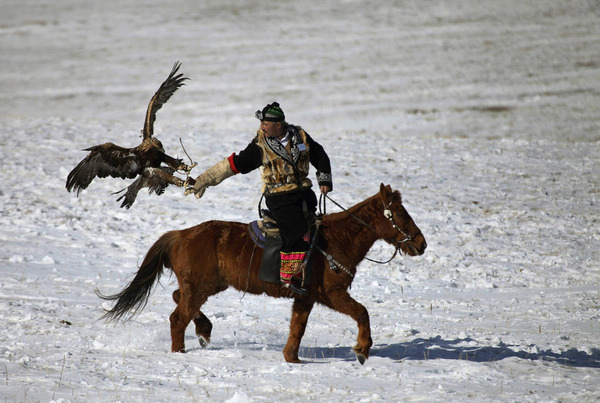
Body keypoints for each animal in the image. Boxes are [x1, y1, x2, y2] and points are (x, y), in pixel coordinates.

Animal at [98, 185, 426, 364]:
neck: (336, 240)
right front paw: (362, 350)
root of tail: (179, 235)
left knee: (179, 298)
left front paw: (292, 358)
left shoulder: (305, 298)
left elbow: (297, 328)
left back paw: (204, 330)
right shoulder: (332, 294)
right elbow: (362, 313)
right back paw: (180, 351)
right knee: (178, 316)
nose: (421, 243)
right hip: (201, 287)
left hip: (206, 286)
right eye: (399, 213)